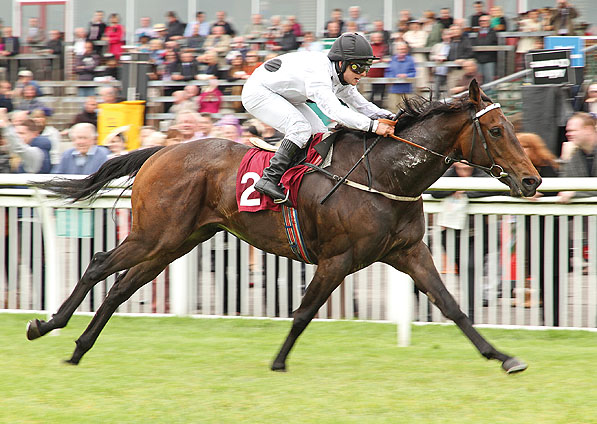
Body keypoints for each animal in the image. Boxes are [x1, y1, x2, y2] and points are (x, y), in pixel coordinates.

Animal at [26, 81, 540, 372]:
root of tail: (161, 149)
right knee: (99, 264)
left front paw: (503, 357)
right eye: (496, 131)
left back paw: (79, 347)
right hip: (156, 234)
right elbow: (304, 311)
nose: (531, 179)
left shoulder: (408, 252)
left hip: (176, 241)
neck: (387, 176)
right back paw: (45, 327)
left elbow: (453, 307)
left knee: (121, 286)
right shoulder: (337, 259)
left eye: (513, 127)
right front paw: (277, 361)